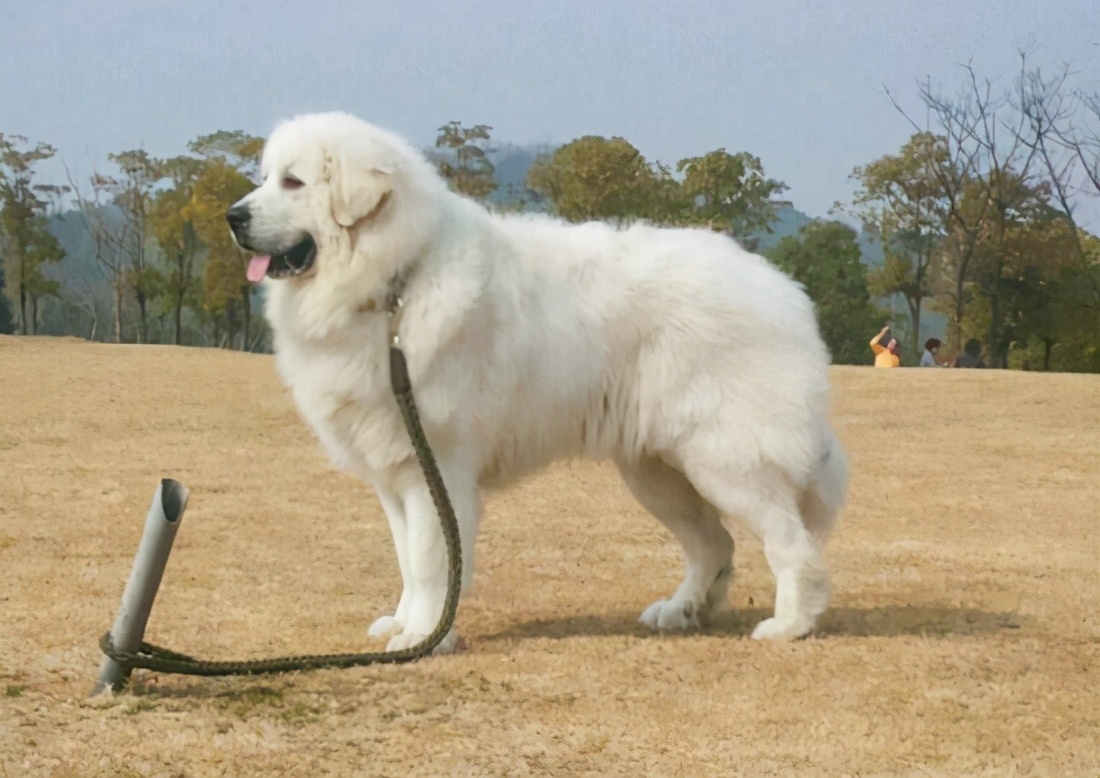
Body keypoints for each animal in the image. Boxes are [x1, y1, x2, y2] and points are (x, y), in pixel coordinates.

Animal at [227, 113, 849, 651]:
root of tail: (780, 288)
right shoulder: (396, 472)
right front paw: (405, 625)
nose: (233, 217)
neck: (396, 285)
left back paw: (789, 624)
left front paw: (427, 637)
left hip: (727, 461)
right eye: (265, 178)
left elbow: (429, 563)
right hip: (657, 472)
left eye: (293, 182)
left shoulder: (438, 472)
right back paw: (682, 610)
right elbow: (407, 559)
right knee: (713, 543)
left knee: (790, 542)